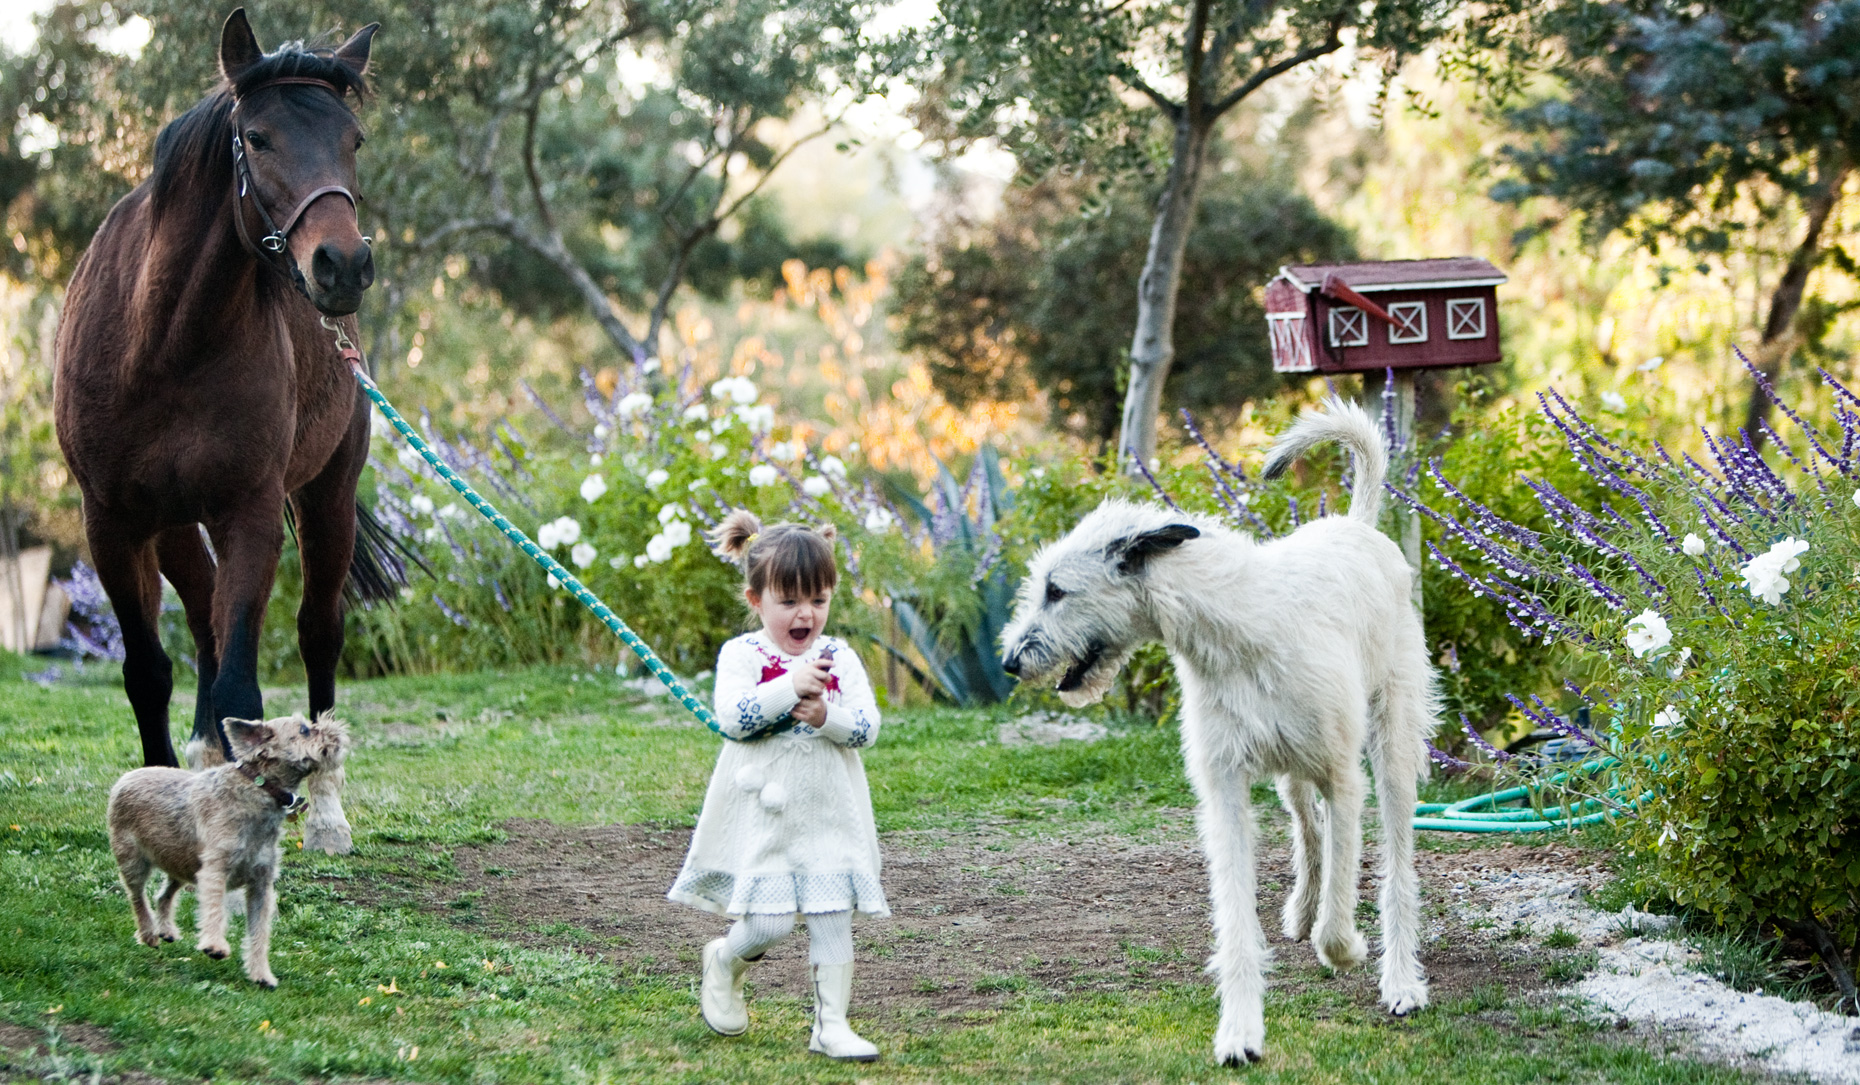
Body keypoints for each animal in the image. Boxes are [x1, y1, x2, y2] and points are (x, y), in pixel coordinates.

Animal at [54, 10, 396, 856]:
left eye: (353, 139)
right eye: (260, 137)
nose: (343, 264)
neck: (164, 340)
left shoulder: (250, 511)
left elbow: (246, 678)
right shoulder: (111, 521)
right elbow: (149, 669)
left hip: (326, 500)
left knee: (317, 634)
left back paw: (328, 815)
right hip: (175, 525)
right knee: (206, 619)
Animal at [108, 718, 351, 990]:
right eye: (304, 730)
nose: (336, 727)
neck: (258, 787)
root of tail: (128, 776)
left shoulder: (260, 885)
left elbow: (259, 932)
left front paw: (261, 973)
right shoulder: (215, 871)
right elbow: (215, 910)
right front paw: (215, 945)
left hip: (181, 864)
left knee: (163, 895)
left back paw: (166, 930)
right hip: (133, 861)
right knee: (137, 898)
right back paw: (149, 933)